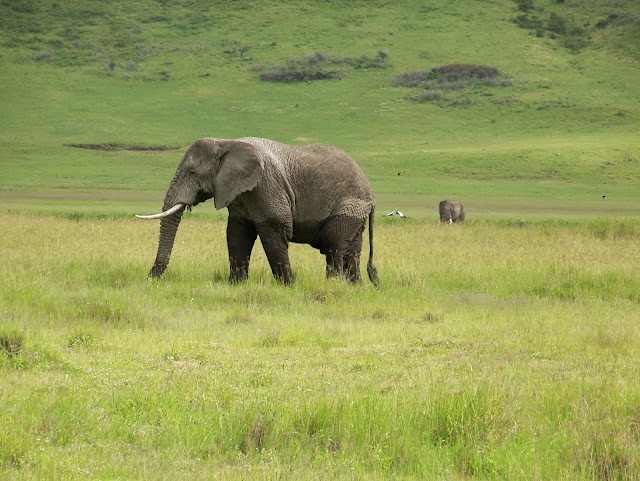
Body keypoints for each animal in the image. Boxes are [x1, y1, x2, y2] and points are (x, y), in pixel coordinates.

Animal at [139, 136, 380, 284]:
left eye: (192, 173)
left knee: (333, 246)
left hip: (349, 205)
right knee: (352, 249)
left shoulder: (267, 186)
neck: (226, 143)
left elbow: (274, 233)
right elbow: (236, 235)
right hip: (355, 211)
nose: (149, 280)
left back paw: (335, 284)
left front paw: (289, 286)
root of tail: (371, 194)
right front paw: (236, 285)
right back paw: (354, 287)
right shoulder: (238, 193)